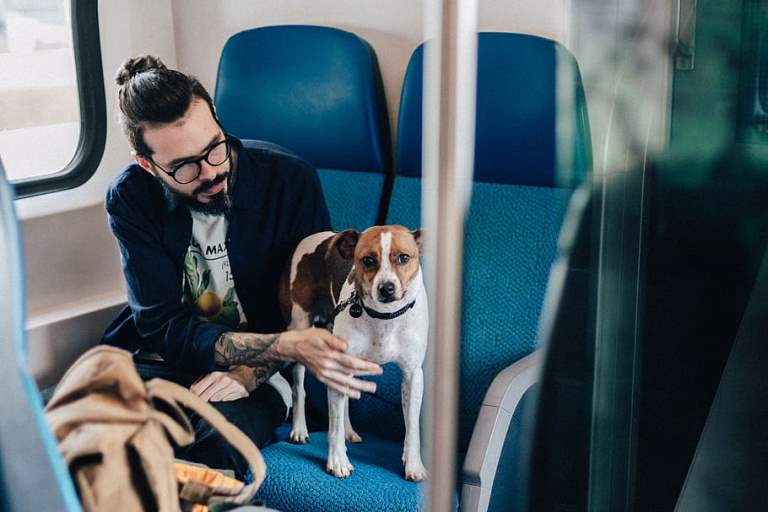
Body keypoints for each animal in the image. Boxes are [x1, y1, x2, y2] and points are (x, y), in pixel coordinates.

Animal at [280, 224, 428, 480]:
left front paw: (413, 464)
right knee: (299, 389)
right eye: (368, 260)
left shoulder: (412, 375)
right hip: (299, 330)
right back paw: (299, 428)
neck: (384, 316)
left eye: (404, 258)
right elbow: (334, 425)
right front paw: (338, 460)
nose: (387, 288)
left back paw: (349, 431)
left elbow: (412, 427)